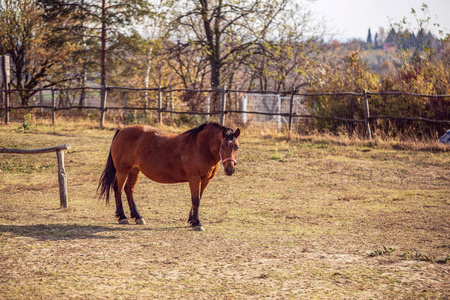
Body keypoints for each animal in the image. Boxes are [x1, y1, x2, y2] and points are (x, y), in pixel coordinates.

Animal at [97, 121, 241, 230]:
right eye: (222, 146)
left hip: (134, 170)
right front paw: (197, 223)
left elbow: (197, 199)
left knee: (129, 189)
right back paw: (122, 217)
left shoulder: (205, 180)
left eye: (237, 147)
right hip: (122, 170)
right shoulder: (195, 178)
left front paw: (192, 220)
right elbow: (196, 200)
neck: (200, 146)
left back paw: (138, 217)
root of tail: (121, 130)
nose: (230, 169)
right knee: (118, 189)